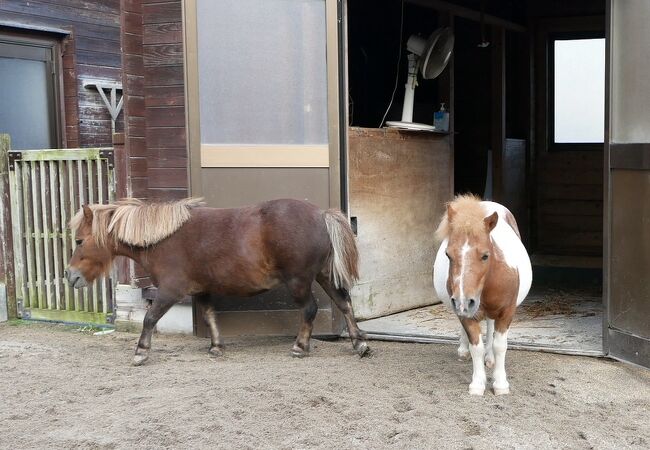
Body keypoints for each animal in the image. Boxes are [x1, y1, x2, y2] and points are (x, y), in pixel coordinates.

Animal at [67, 199, 370, 364]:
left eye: (79, 241)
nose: (71, 276)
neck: (162, 239)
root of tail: (321, 214)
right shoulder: (201, 290)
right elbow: (210, 315)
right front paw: (215, 347)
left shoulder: (170, 291)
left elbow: (149, 318)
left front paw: (141, 352)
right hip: (323, 275)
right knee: (344, 304)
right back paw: (359, 344)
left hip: (299, 280)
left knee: (309, 310)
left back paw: (300, 347)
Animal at [432, 195, 528, 396]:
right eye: (448, 255)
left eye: (485, 255)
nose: (464, 301)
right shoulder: (466, 314)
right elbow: (476, 346)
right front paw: (477, 383)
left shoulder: (506, 313)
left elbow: (500, 346)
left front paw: (500, 384)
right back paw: (463, 351)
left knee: (491, 328)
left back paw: (490, 358)